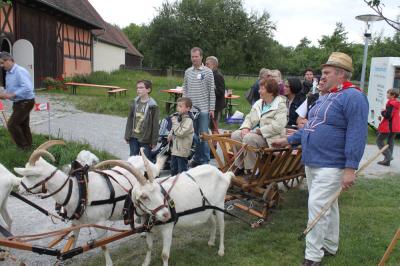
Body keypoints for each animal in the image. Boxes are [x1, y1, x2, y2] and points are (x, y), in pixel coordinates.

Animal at [14, 140, 164, 264]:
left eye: (29, 175)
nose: (19, 188)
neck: (77, 190)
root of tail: (151, 165)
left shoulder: (100, 223)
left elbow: (103, 245)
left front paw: (109, 263)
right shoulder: (77, 222)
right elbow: (73, 238)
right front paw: (68, 258)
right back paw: (143, 231)